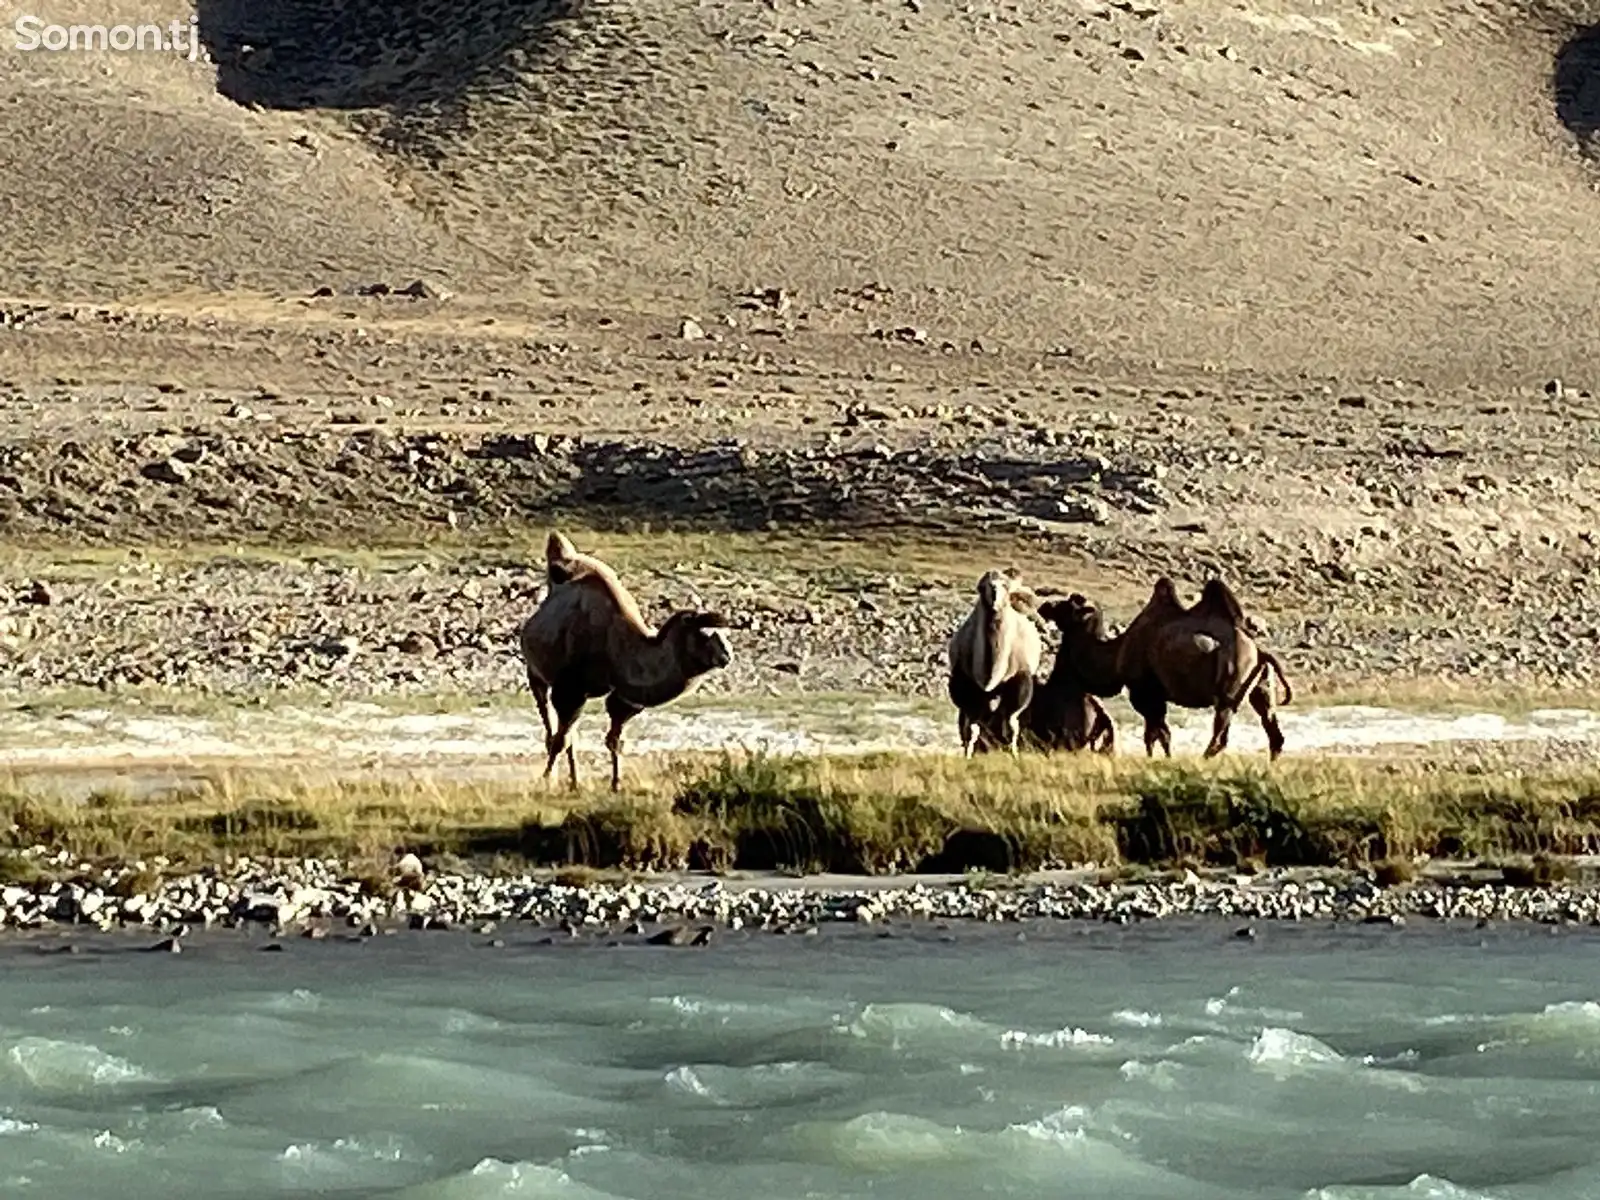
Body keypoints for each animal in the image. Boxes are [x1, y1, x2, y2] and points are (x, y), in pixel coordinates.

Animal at [518, 531, 732, 793]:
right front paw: (547, 779)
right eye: (703, 635)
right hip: (536, 672)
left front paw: (616, 784)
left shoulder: (625, 698)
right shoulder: (569, 689)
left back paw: (575, 782)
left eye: (725, 634)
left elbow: (613, 740)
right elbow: (562, 739)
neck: (617, 648)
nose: (726, 656)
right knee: (548, 717)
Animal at [940, 569, 1043, 755]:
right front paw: (967, 756)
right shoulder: (964, 683)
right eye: (982, 587)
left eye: (1005, 586)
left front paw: (1014, 755)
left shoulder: (1021, 678)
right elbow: (969, 729)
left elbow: (1010, 726)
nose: (995, 595)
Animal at [1043, 579, 1292, 761]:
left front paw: (1160, 761)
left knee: (1221, 731)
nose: (1044, 606)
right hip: (1260, 683)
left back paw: (1202, 760)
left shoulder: (1143, 692)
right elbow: (1157, 734)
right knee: (1271, 726)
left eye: (1068, 605)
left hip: (1230, 685)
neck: (1116, 653)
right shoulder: (1153, 695)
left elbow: (1157, 734)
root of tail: (1259, 651)